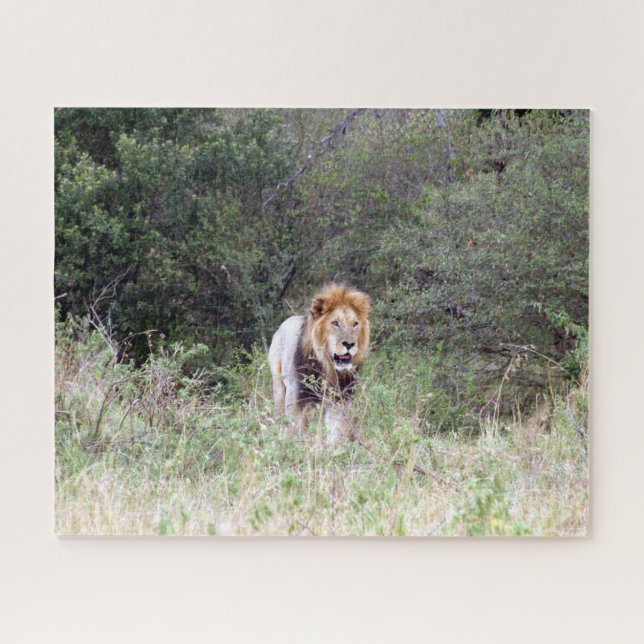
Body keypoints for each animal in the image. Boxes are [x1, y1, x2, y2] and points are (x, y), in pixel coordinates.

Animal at [268, 283, 371, 444]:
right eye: (335, 323)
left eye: (355, 324)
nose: (349, 344)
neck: (327, 366)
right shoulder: (296, 396)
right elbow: (295, 427)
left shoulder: (338, 398)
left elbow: (335, 430)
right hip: (278, 385)